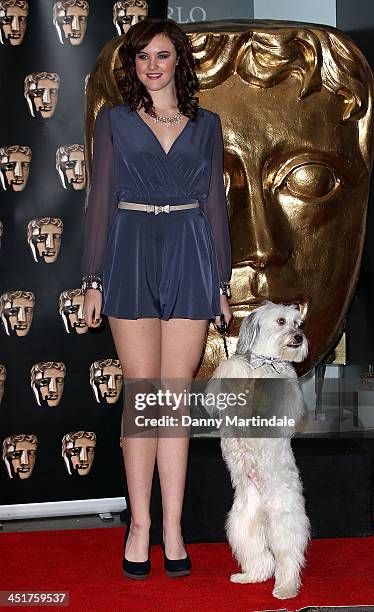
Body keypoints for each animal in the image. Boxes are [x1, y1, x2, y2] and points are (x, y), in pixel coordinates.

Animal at [203, 304, 312, 600]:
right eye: (282, 321)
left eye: (299, 324)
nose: (299, 337)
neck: (266, 363)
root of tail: (264, 507)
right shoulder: (232, 375)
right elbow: (232, 376)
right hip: (242, 525)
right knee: (262, 560)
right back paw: (249, 577)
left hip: (284, 522)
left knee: (287, 559)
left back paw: (286, 588)